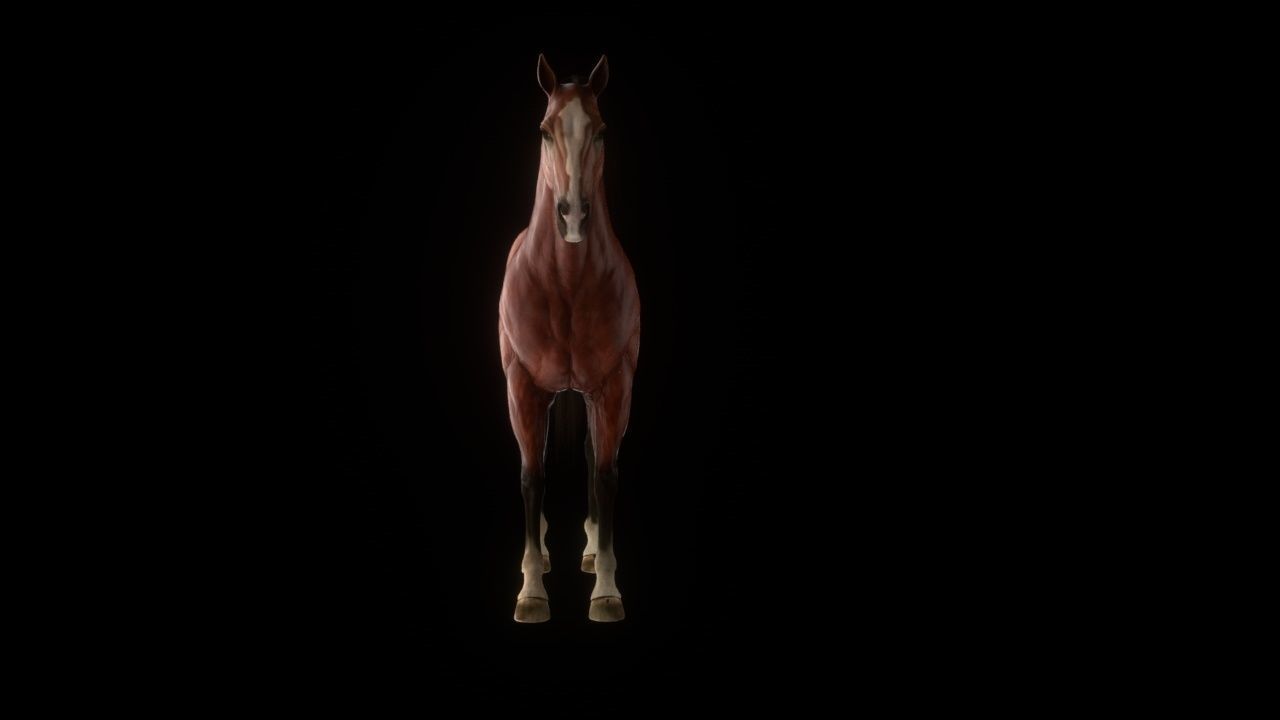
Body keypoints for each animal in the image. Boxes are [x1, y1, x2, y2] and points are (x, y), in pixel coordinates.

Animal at [498, 54, 640, 623]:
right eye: (544, 130)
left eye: (599, 131)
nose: (573, 215)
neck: (565, 285)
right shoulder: (522, 387)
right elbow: (531, 477)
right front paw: (532, 590)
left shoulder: (614, 386)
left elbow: (604, 473)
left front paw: (606, 589)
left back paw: (590, 553)